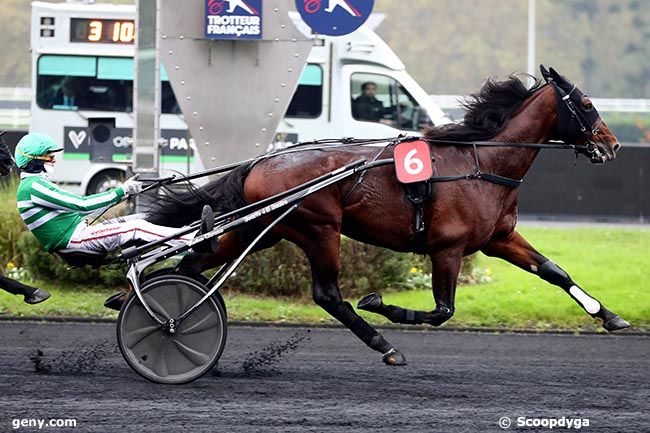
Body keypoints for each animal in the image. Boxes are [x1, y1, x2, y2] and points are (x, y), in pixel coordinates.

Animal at [148, 66, 628, 364]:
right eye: (586, 103)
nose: (612, 144)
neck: (481, 162)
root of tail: (259, 163)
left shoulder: (498, 239)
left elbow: (554, 271)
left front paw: (609, 316)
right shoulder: (447, 248)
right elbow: (442, 311)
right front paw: (381, 304)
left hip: (264, 230)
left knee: (193, 262)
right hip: (319, 229)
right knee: (328, 295)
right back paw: (384, 345)